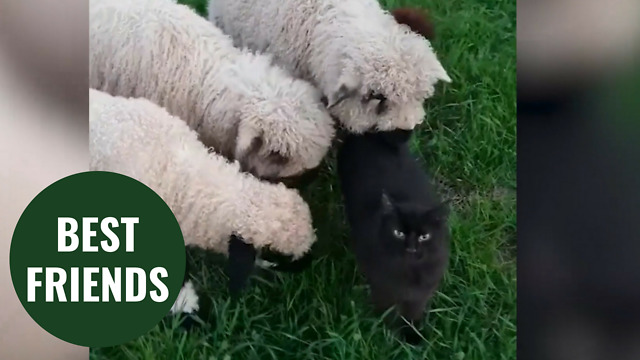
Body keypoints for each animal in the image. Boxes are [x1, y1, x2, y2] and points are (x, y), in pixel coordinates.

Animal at [338, 129, 448, 344]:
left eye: (424, 236)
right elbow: (387, 309)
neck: (409, 272)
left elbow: (413, 313)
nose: (411, 247)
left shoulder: (421, 293)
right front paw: (386, 329)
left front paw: (412, 336)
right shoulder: (382, 286)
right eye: (398, 233)